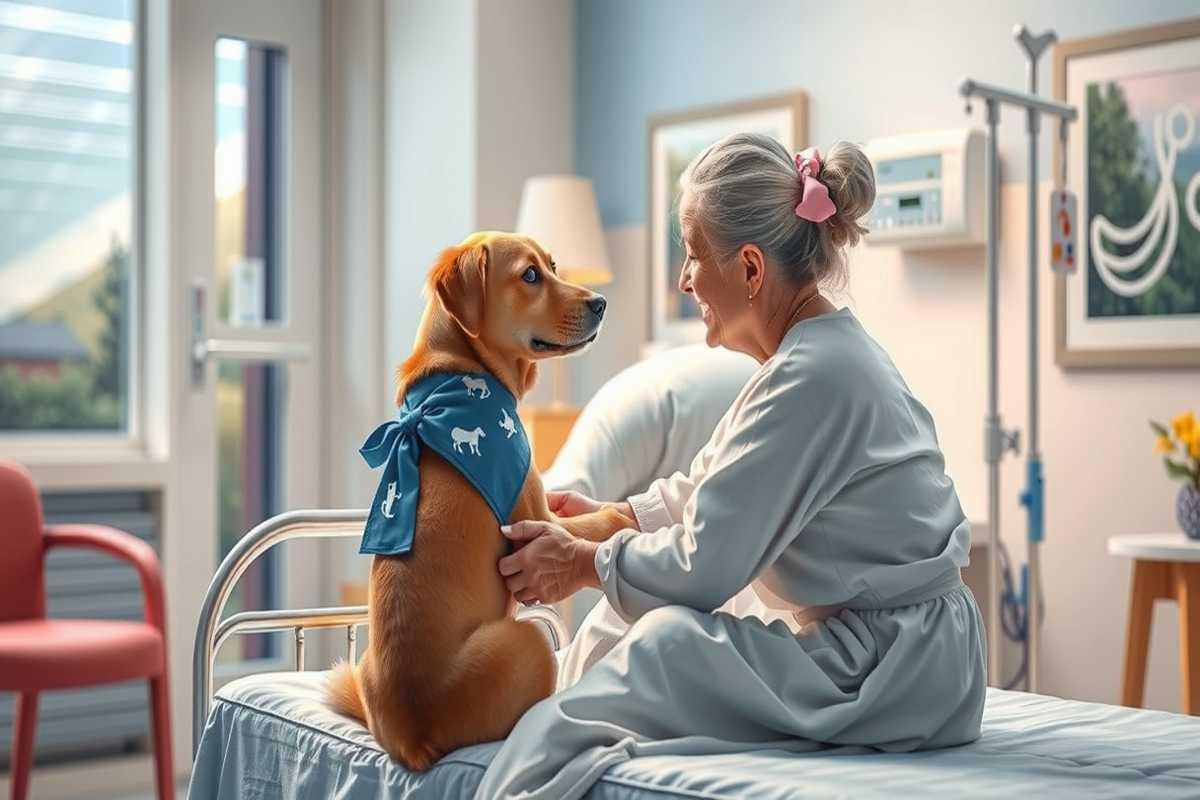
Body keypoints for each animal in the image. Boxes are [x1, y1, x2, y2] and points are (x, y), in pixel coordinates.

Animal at [324, 231, 633, 767]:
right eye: (529, 275)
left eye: (553, 266)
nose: (600, 302)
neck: (462, 374)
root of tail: (413, 735)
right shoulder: (536, 520)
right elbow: (592, 525)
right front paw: (622, 515)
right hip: (527, 640)